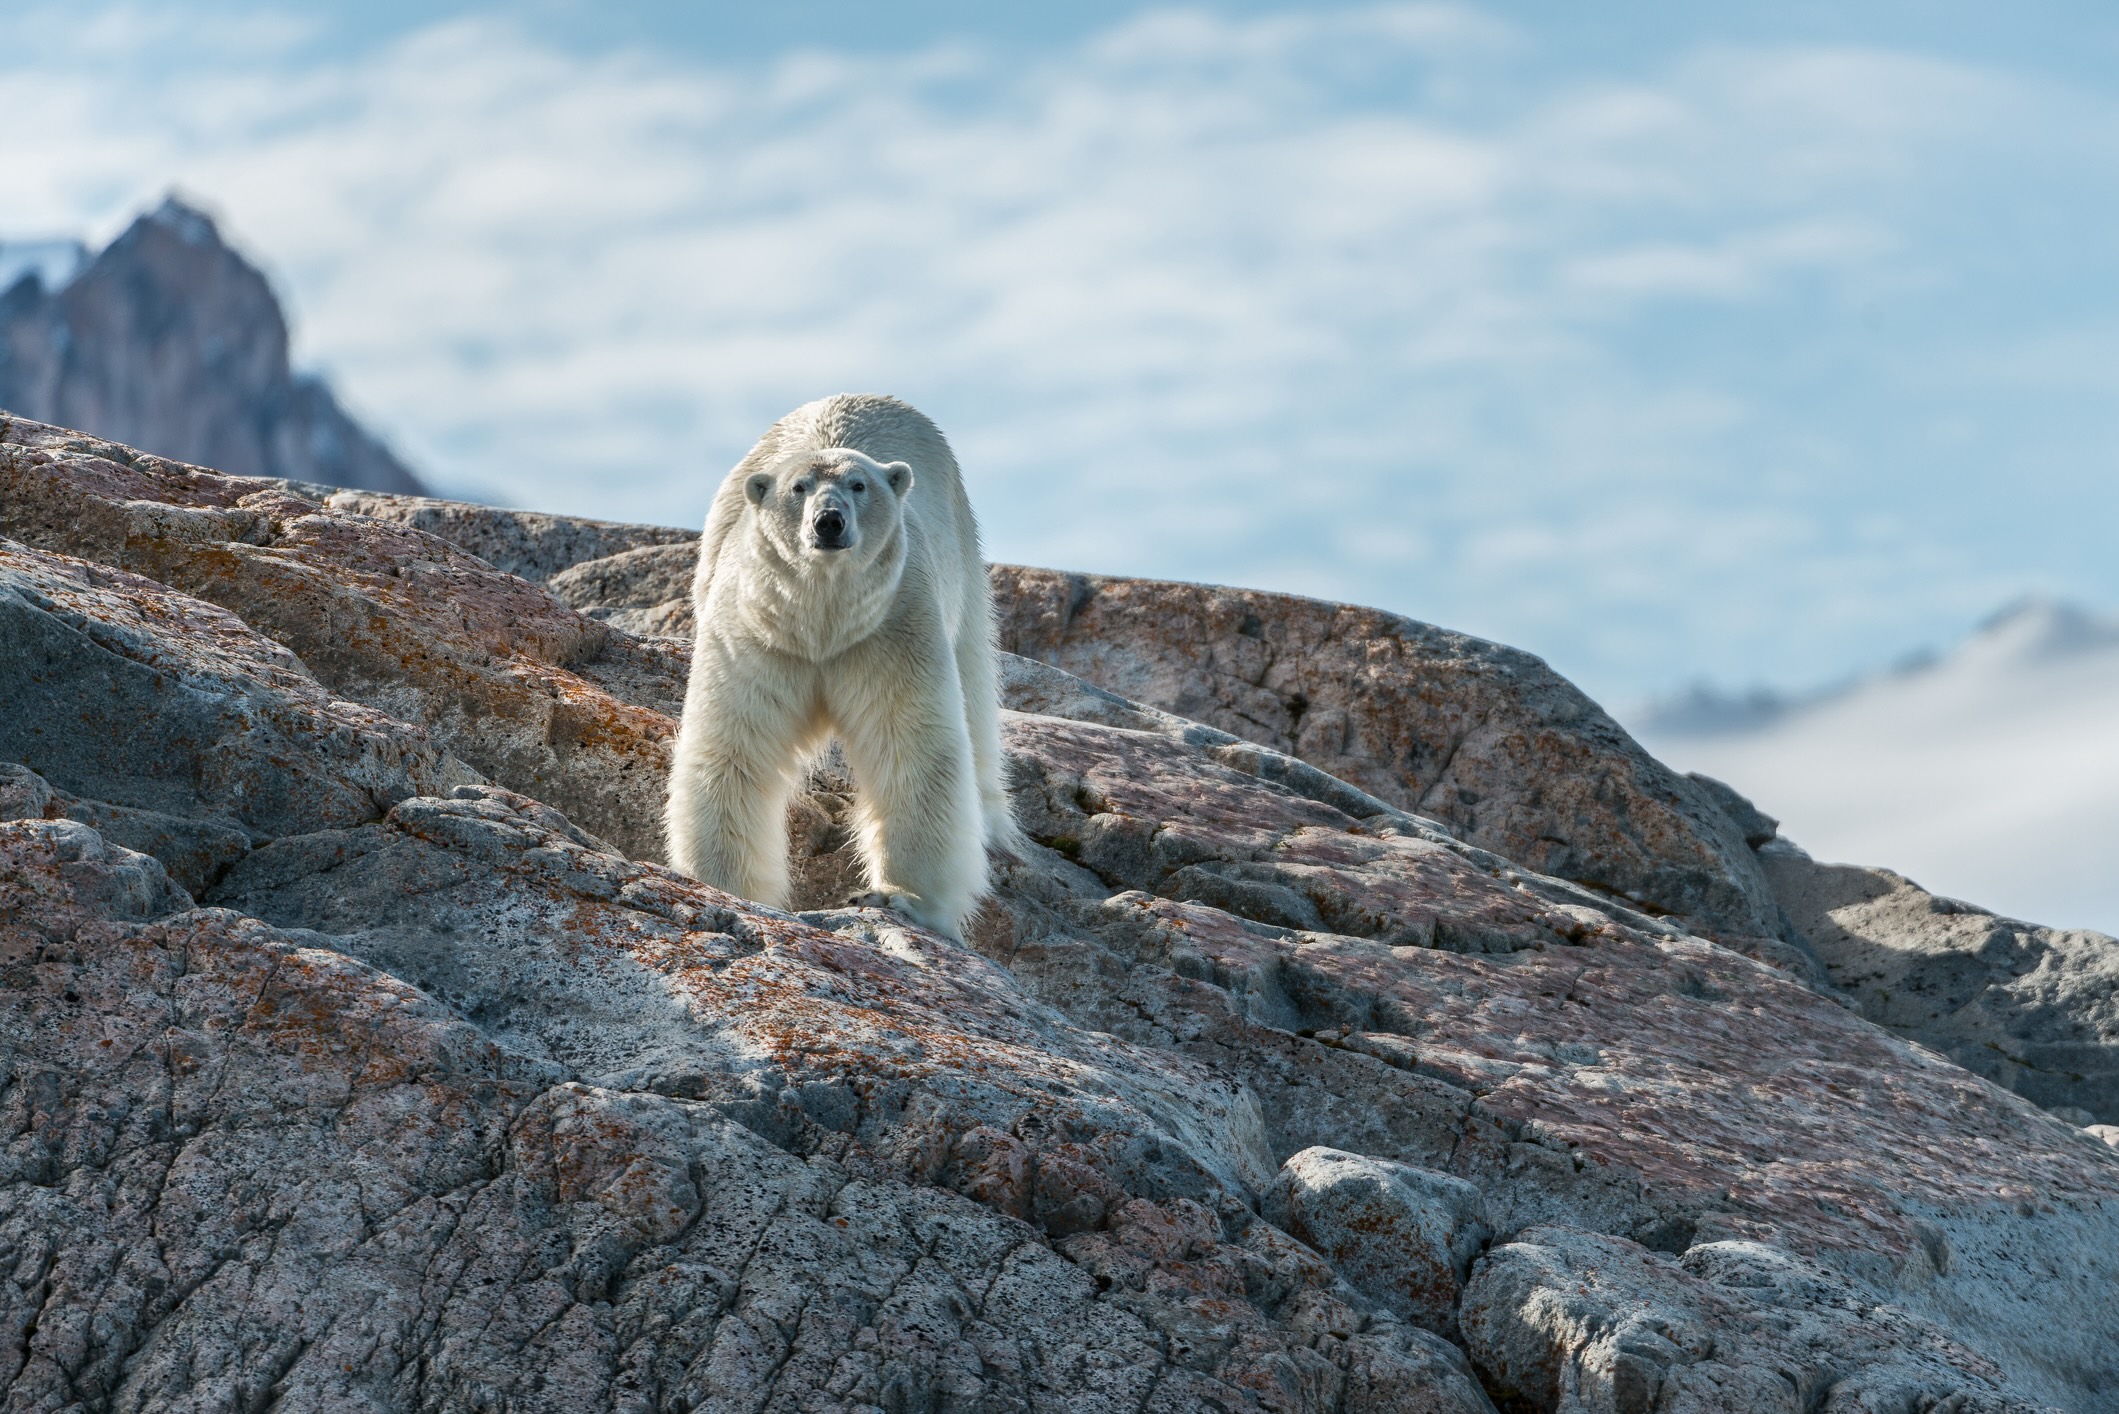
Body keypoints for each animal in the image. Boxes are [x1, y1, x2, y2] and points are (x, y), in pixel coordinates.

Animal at [665, 392, 1021, 941]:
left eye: (859, 484)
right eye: (798, 487)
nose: (828, 521)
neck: (822, 618)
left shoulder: (891, 624)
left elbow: (909, 742)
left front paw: (903, 898)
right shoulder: (755, 631)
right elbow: (735, 744)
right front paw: (721, 884)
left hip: (961, 546)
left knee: (975, 684)